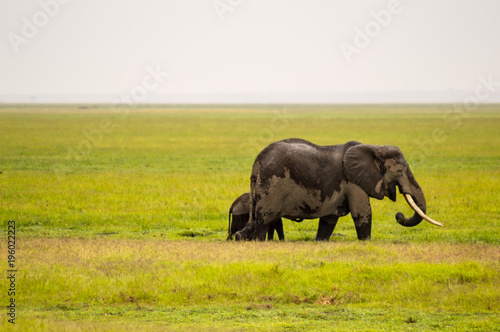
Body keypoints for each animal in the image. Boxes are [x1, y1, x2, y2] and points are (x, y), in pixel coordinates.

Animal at [234, 138, 442, 241]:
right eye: (400, 171)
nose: (399, 215)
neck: (374, 148)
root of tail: (257, 162)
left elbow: (329, 220)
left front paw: (320, 242)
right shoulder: (353, 182)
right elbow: (362, 213)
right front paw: (366, 243)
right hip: (270, 185)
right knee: (263, 220)